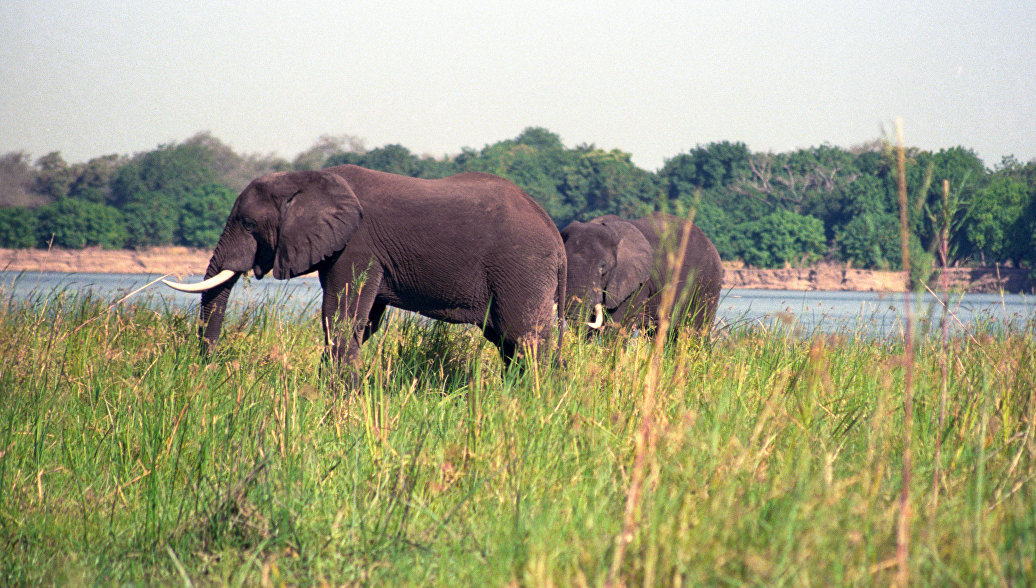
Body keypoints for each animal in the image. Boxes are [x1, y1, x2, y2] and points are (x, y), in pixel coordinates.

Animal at [162, 164, 567, 376]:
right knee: (507, 341)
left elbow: (342, 317)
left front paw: (340, 394)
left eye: (247, 223)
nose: (208, 368)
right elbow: (362, 322)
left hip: (521, 268)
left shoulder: (356, 247)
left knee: (525, 338)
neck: (306, 178)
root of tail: (556, 235)